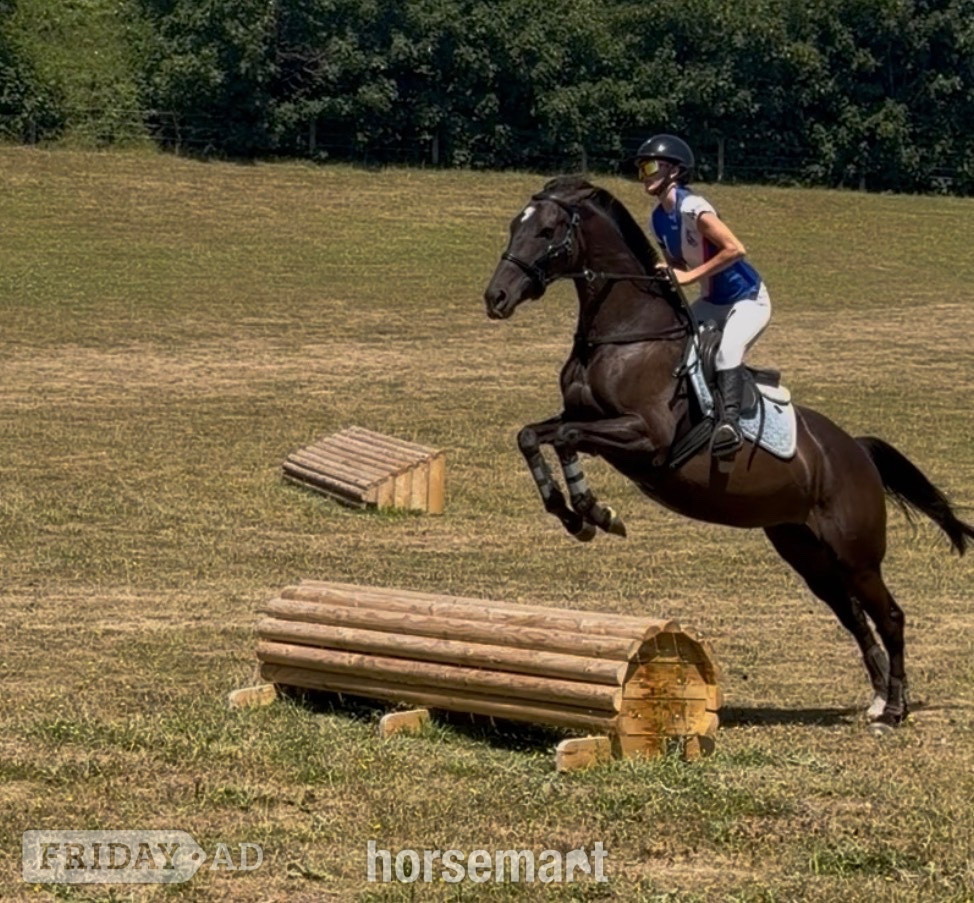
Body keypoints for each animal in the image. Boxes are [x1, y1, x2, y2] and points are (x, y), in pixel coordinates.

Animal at [483, 175, 974, 729]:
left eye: (546, 231)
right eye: (514, 225)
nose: (496, 297)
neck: (625, 332)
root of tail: (857, 452)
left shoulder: (645, 438)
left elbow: (566, 440)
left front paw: (596, 512)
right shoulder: (582, 418)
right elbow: (532, 436)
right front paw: (572, 515)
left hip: (857, 554)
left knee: (889, 615)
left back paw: (894, 708)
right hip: (806, 551)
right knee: (853, 615)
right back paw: (876, 699)